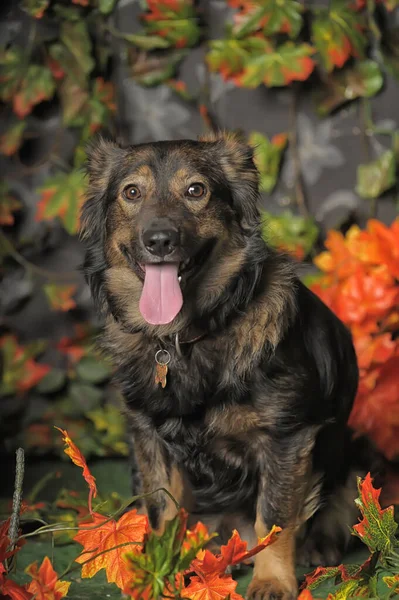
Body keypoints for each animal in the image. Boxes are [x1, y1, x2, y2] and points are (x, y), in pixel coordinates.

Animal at [80, 132, 376, 600]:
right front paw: (159, 573)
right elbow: (161, 511)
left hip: (360, 450)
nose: (159, 240)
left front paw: (272, 580)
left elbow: (274, 517)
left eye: (196, 190)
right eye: (131, 193)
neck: (183, 339)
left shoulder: (285, 437)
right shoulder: (148, 438)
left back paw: (319, 544)